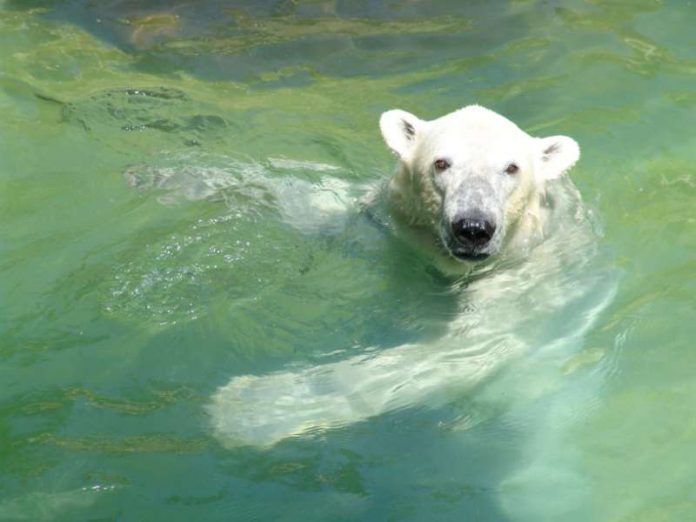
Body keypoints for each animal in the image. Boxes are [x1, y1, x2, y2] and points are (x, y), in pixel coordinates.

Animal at [208, 103, 616, 448]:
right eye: (441, 163)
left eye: (511, 168)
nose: (473, 227)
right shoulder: (388, 225)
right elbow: (321, 204)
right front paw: (214, 181)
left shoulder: (523, 275)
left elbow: (468, 348)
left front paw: (251, 408)